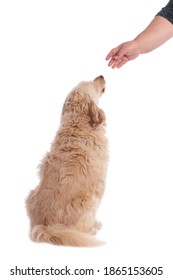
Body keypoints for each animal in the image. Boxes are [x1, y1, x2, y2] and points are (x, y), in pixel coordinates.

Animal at [26, 75, 108, 247]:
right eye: (91, 83)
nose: (101, 76)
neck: (78, 123)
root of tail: (47, 227)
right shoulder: (99, 185)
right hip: (88, 200)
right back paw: (93, 228)